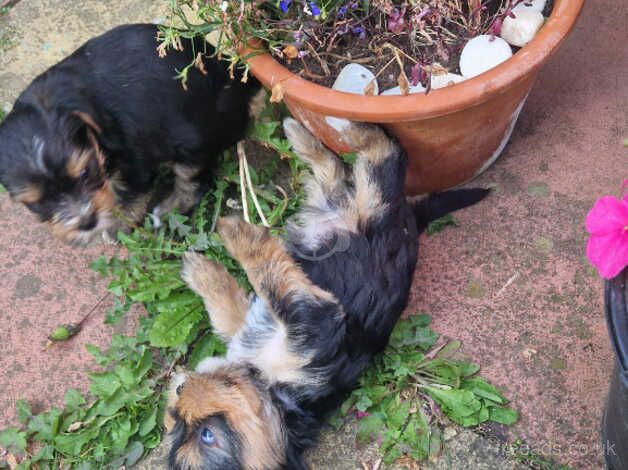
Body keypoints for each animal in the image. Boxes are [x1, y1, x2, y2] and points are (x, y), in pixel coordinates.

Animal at [0, 24, 262, 246]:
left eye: (85, 173)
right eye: (36, 203)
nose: (87, 222)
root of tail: (233, 78)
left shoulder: (136, 161)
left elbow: (131, 197)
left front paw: (116, 227)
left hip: (193, 141)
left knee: (194, 182)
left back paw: (165, 212)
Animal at [164, 119, 488, 468]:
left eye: (205, 434)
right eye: (182, 424)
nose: (180, 392)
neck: (270, 387)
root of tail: (411, 223)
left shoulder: (310, 320)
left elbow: (259, 285)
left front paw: (224, 245)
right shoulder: (284, 321)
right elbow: (243, 302)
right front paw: (215, 258)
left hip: (369, 210)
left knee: (381, 156)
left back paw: (322, 129)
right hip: (354, 210)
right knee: (353, 169)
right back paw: (310, 135)